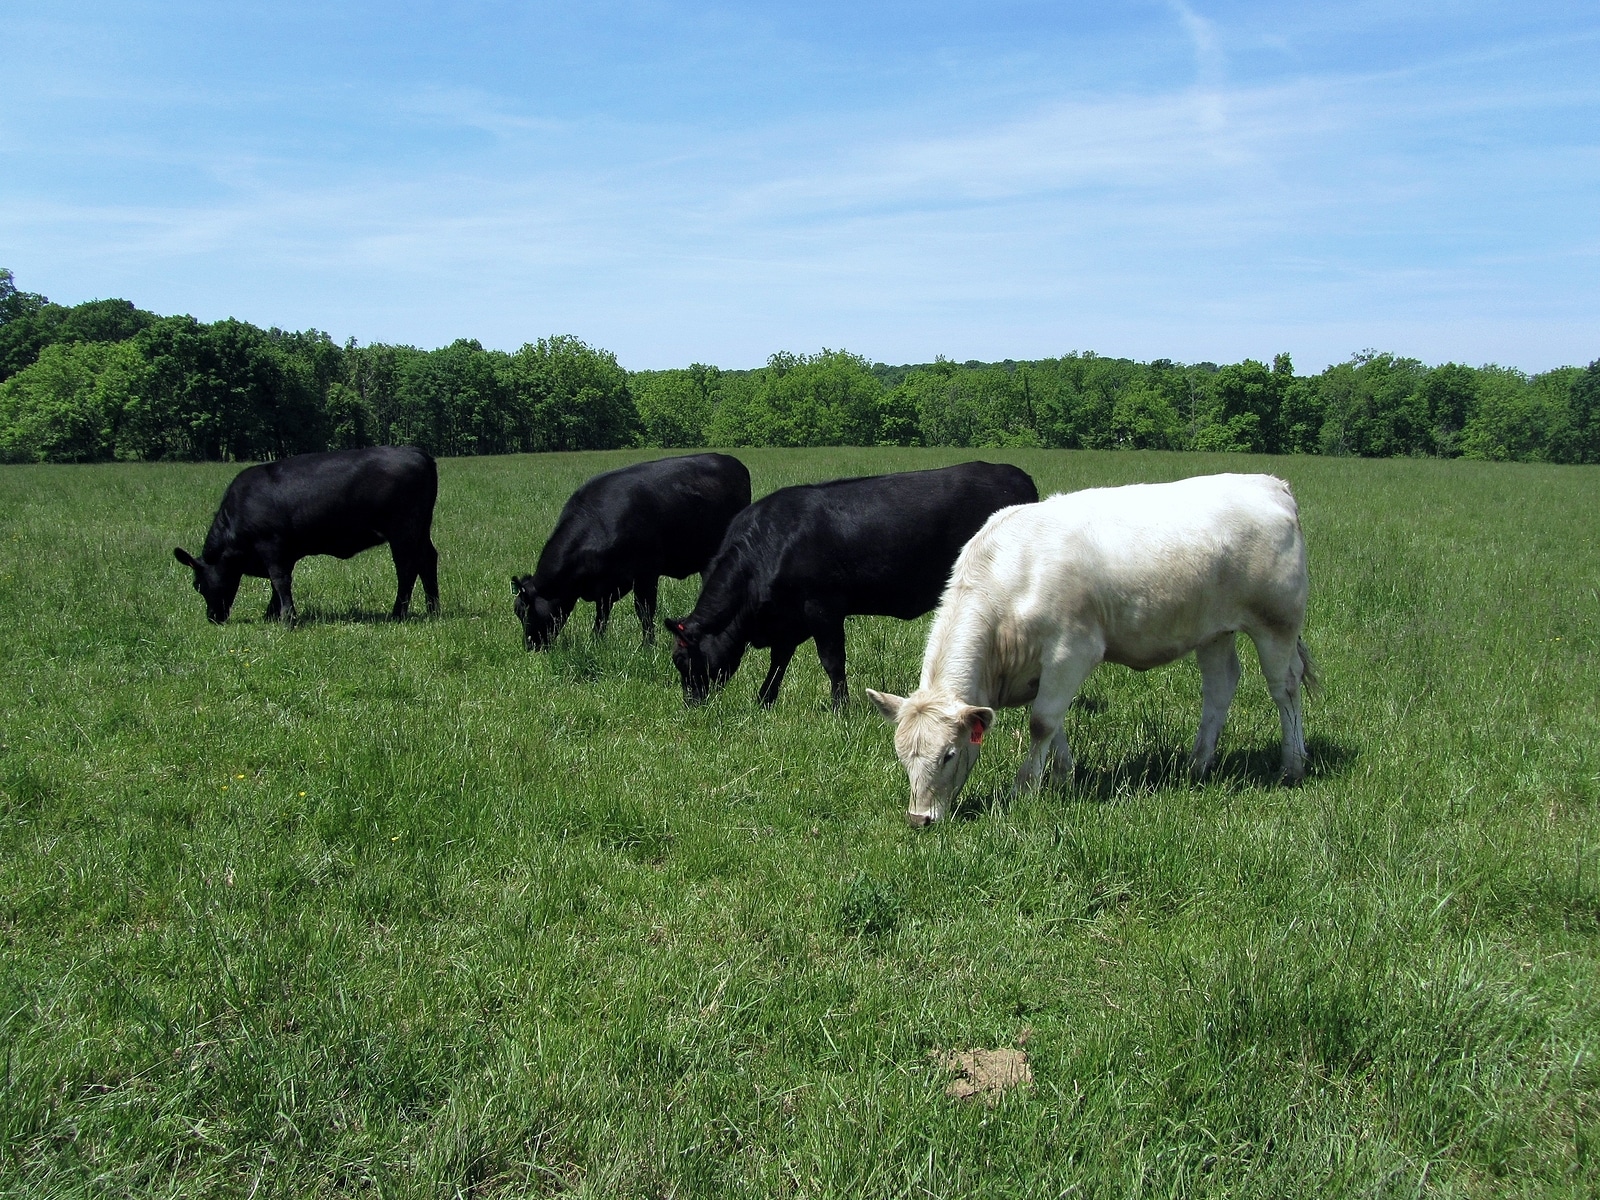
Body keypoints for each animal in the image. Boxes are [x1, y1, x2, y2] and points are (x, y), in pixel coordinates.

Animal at [173, 446, 439, 624]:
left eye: (197, 585)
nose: (212, 618)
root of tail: (417, 453)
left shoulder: (271, 546)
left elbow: (280, 580)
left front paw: (287, 618)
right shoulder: (284, 553)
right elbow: (276, 585)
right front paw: (271, 615)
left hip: (403, 531)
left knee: (406, 568)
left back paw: (398, 613)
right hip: (420, 529)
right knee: (427, 560)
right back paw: (433, 608)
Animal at [512, 453, 751, 650]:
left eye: (524, 612)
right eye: (517, 612)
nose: (529, 647)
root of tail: (731, 460)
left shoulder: (646, 573)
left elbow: (644, 610)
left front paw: (648, 646)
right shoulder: (606, 585)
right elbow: (602, 614)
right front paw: (596, 641)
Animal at [665, 462, 1039, 708]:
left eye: (681, 661)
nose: (691, 706)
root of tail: (1014, 473)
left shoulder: (822, 607)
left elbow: (832, 660)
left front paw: (839, 707)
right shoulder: (788, 618)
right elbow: (779, 660)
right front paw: (764, 700)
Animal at [867, 473, 1315, 825]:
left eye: (948, 754)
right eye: (902, 756)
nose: (919, 818)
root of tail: (1270, 484)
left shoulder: (1070, 651)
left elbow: (1042, 722)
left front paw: (1023, 790)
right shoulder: (1043, 669)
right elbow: (1055, 725)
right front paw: (1062, 776)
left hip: (1277, 623)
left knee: (1284, 688)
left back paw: (1292, 765)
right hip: (1214, 631)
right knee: (1220, 687)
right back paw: (1198, 764)